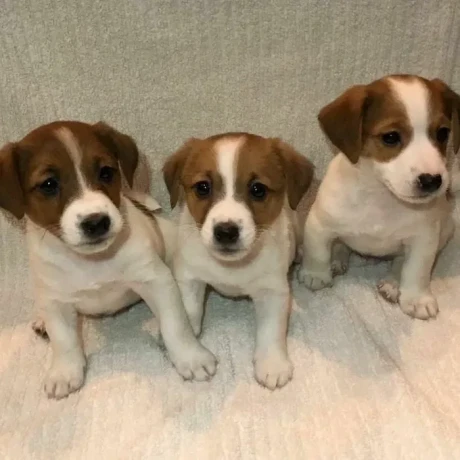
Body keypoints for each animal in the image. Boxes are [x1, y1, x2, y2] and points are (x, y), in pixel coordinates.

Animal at [0, 121, 217, 398]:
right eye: (48, 184)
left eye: (105, 172)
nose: (96, 222)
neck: (92, 261)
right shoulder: (55, 301)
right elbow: (64, 340)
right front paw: (64, 371)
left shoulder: (157, 281)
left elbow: (175, 325)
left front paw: (190, 357)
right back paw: (41, 320)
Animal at [162, 132, 312, 388]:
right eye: (203, 187)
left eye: (258, 189)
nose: (225, 231)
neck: (231, 267)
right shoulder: (190, 278)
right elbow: (188, 310)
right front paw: (189, 349)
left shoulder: (273, 291)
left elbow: (271, 330)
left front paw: (272, 363)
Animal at [296, 74, 458, 320]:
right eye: (390, 137)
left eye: (443, 133)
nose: (432, 180)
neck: (381, 197)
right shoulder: (319, 224)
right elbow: (317, 253)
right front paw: (316, 274)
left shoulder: (424, 238)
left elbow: (417, 270)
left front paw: (417, 298)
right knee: (341, 245)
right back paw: (338, 258)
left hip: (446, 229)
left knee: (400, 262)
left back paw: (393, 283)